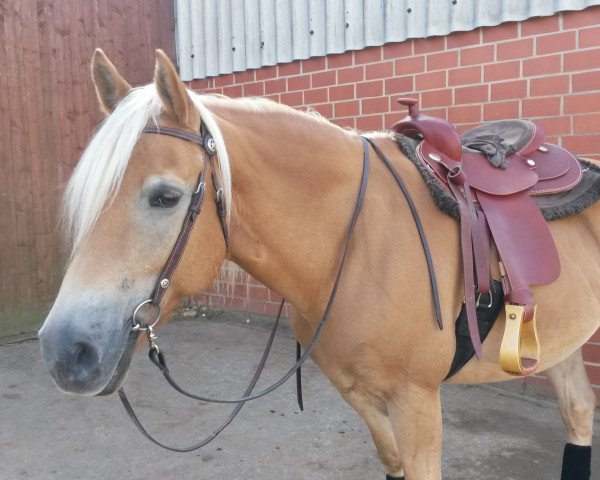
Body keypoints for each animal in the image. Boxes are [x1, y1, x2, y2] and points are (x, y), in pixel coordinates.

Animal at [39, 49, 596, 480]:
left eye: (165, 197)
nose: (65, 351)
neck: (355, 243)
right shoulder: (364, 398)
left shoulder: (416, 401)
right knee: (578, 413)